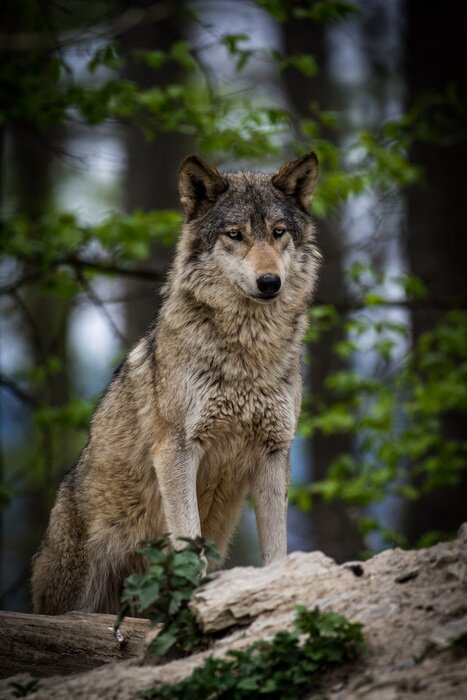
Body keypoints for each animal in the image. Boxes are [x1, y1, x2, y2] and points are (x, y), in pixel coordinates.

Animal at [31, 152, 321, 614]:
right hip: (81, 588)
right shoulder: (178, 451)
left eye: (278, 233)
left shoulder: (275, 453)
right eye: (235, 235)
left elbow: (277, 548)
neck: (247, 353)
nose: (269, 282)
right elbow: (188, 540)